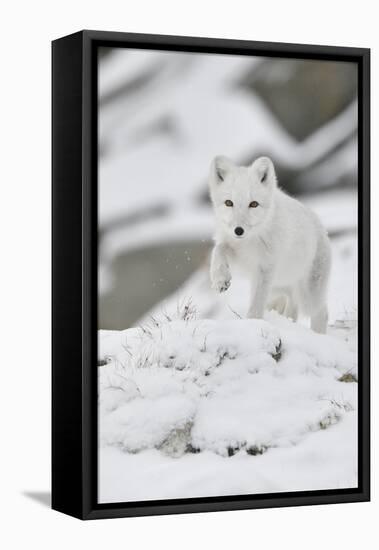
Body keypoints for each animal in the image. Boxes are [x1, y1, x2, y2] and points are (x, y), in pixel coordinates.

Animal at [209, 157, 332, 334]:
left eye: (253, 204)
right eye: (228, 203)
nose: (238, 230)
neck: (250, 241)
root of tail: (322, 229)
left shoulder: (265, 268)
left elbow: (256, 303)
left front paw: (252, 323)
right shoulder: (238, 254)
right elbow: (218, 249)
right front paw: (220, 279)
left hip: (307, 295)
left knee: (321, 312)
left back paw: (318, 336)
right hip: (280, 289)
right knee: (293, 309)